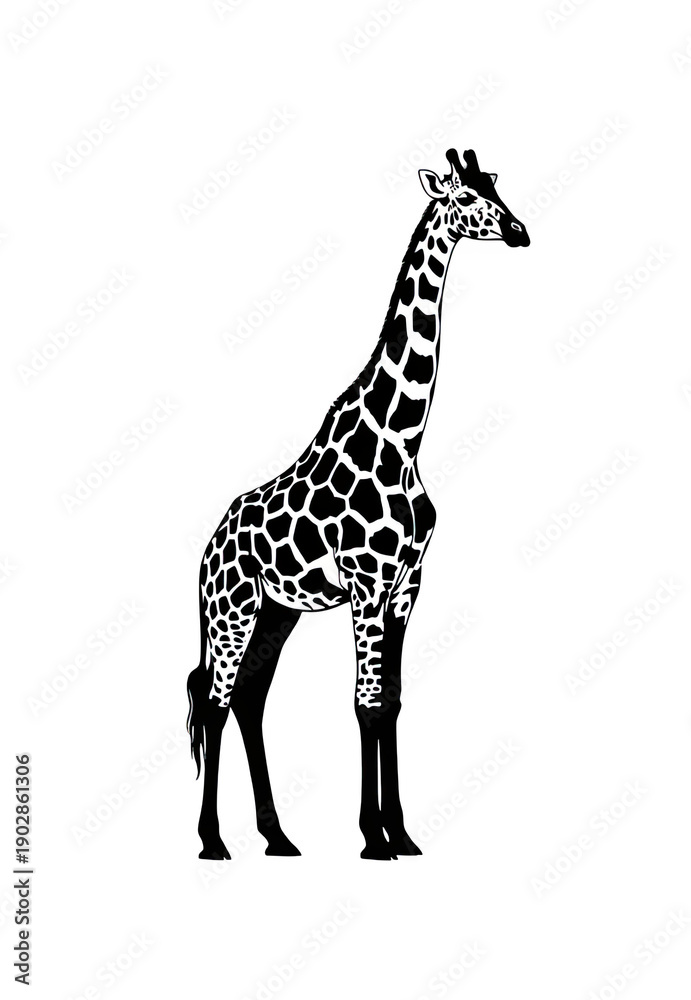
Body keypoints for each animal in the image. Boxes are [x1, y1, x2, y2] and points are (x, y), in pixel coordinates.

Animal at [187, 148, 530, 861]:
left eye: (496, 186)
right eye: (466, 198)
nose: (520, 232)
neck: (401, 435)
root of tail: (204, 548)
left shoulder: (408, 584)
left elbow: (391, 702)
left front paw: (402, 833)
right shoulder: (368, 583)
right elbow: (364, 703)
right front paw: (374, 839)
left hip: (277, 611)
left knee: (251, 698)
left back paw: (277, 837)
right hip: (229, 611)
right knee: (213, 701)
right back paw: (212, 841)